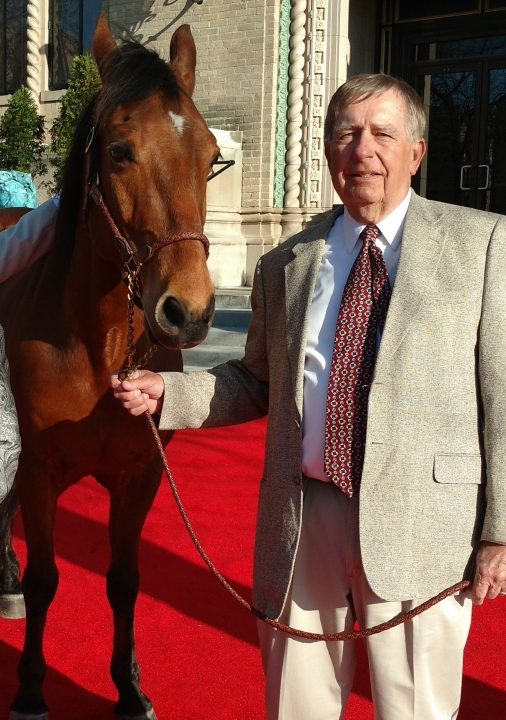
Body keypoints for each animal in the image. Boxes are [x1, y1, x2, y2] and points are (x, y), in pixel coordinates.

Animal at [0, 12, 217, 720]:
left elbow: (124, 580)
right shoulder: (39, 471)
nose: (188, 310)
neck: (98, 348)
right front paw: (31, 690)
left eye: (211, 155)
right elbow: (46, 578)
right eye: (119, 151)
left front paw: (129, 688)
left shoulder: (139, 473)